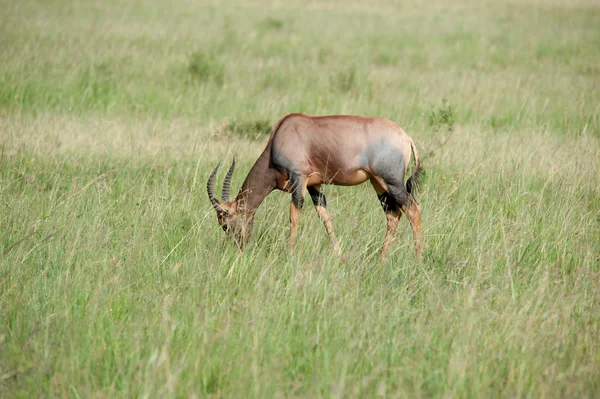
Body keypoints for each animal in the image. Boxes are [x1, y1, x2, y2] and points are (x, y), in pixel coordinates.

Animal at [209, 112, 424, 260]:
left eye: (225, 223)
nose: (237, 249)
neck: (283, 134)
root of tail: (405, 137)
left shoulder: (299, 179)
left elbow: (294, 215)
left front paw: (290, 253)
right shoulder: (315, 185)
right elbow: (325, 217)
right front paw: (338, 254)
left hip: (391, 181)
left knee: (413, 209)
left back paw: (418, 259)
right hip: (377, 183)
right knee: (393, 214)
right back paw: (381, 259)